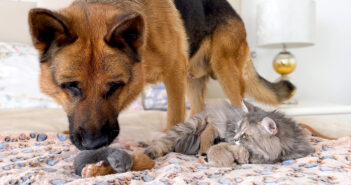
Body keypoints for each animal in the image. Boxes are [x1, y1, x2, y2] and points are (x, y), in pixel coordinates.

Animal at [28, 0, 296, 150]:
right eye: (70, 86)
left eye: (115, 86)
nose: (95, 145)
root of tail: (232, 8)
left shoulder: (174, 75)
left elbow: (174, 115)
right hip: (193, 82)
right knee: (200, 110)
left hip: (225, 71)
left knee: (238, 105)